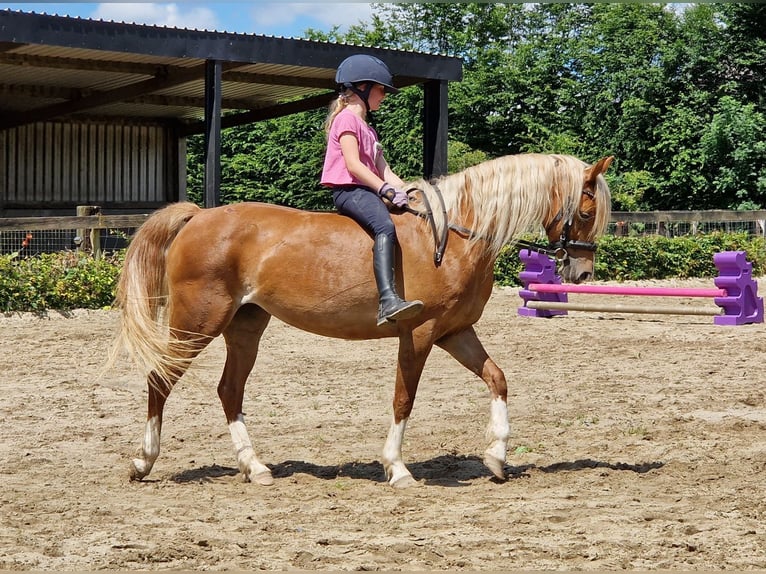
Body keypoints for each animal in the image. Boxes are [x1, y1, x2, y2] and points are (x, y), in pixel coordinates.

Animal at [114, 154, 616, 490]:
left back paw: (255, 468)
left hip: (245, 326)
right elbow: (403, 399)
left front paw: (496, 456)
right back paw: (143, 462)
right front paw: (397, 468)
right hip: (198, 321)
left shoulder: (456, 332)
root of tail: (198, 217)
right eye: (586, 212)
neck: (455, 236)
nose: (582, 273)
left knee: (229, 390)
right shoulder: (419, 333)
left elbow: (497, 378)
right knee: (161, 378)